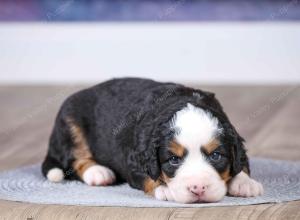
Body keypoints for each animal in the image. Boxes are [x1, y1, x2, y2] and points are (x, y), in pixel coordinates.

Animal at [41, 78, 262, 204]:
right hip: (70, 122)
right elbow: (149, 177)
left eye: (216, 156)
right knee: (74, 160)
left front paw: (245, 183)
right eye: (173, 160)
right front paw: (164, 189)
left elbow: (241, 163)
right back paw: (98, 173)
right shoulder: (134, 160)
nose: (197, 188)